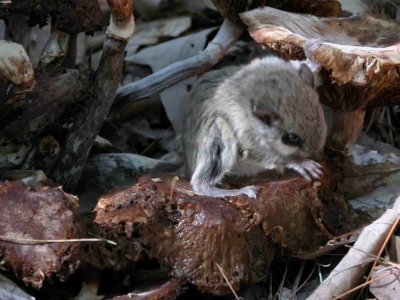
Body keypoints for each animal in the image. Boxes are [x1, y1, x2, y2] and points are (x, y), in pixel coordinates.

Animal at [183, 56, 326, 198]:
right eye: (291, 137)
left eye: (320, 117)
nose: (316, 153)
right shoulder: (247, 139)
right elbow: (277, 157)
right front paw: (302, 163)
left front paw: (314, 64)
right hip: (219, 137)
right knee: (199, 184)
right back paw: (242, 191)